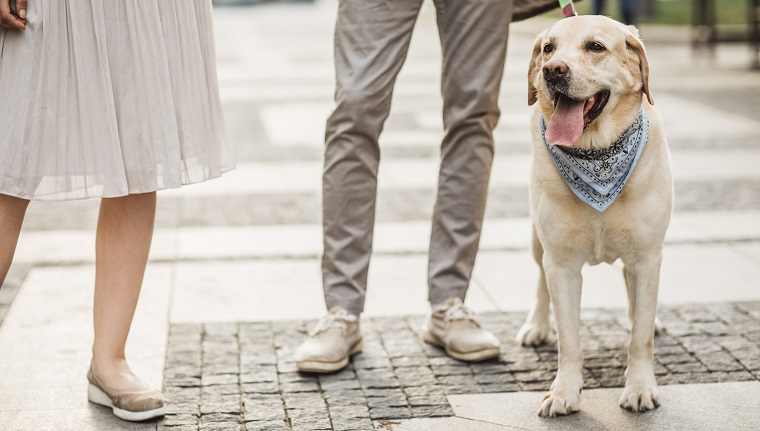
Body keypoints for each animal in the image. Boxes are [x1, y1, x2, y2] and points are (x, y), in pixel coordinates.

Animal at [516, 16, 672, 418]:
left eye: (596, 47)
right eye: (548, 48)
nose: (553, 71)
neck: (598, 155)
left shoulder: (647, 258)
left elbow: (640, 338)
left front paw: (640, 388)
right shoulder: (562, 264)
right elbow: (569, 340)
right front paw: (563, 392)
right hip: (537, 240)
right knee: (540, 281)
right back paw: (536, 325)